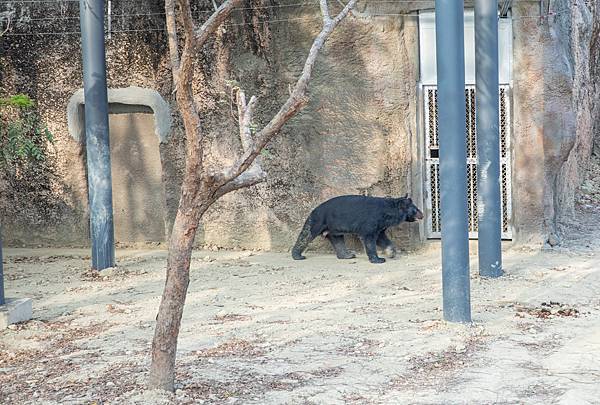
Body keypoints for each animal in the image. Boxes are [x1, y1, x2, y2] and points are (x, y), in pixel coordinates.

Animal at [290, 194, 422, 264]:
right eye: (415, 210)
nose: (423, 214)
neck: (388, 213)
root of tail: (314, 209)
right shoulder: (371, 222)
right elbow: (369, 239)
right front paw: (378, 259)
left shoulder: (380, 226)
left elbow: (382, 239)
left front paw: (392, 253)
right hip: (319, 220)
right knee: (306, 234)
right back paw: (298, 255)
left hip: (334, 229)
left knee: (338, 240)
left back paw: (347, 255)